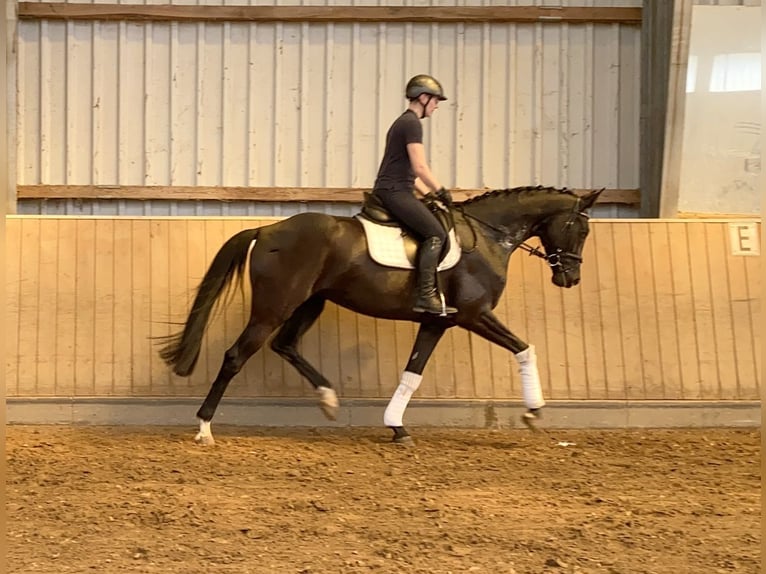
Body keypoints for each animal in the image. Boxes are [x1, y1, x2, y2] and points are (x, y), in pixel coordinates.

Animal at [160, 186, 608, 446]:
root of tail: (266, 230)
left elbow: (413, 373)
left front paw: (397, 427)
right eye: (581, 229)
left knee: (285, 345)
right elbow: (524, 348)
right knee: (237, 355)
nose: (570, 278)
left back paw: (329, 399)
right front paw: (533, 412)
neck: (486, 238)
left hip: (310, 302)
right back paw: (204, 429)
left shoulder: (437, 322)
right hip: (276, 305)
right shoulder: (473, 315)